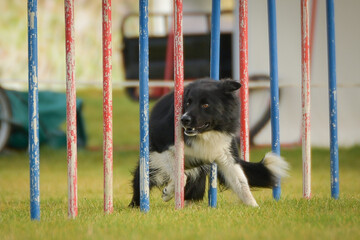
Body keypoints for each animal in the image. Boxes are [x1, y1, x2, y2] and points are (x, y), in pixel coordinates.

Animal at [131, 78, 288, 206]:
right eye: (188, 102)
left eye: (205, 105)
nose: (184, 119)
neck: (205, 134)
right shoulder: (159, 146)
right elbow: (180, 175)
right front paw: (168, 192)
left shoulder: (226, 154)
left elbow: (242, 183)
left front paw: (254, 207)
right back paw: (137, 205)